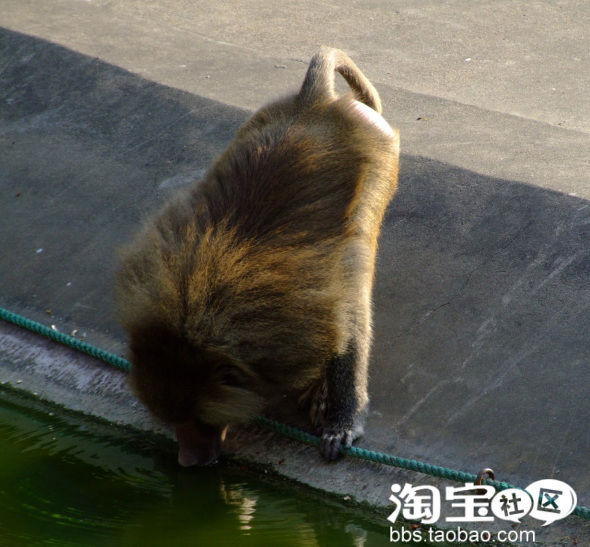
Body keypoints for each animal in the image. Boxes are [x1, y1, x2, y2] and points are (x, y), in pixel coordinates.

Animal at [115, 47, 400, 466]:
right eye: (176, 421)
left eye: (200, 421)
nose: (188, 461)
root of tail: (312, 105)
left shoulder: (315, 304)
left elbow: (351, 329)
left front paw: (341, 421)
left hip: (379, 154)